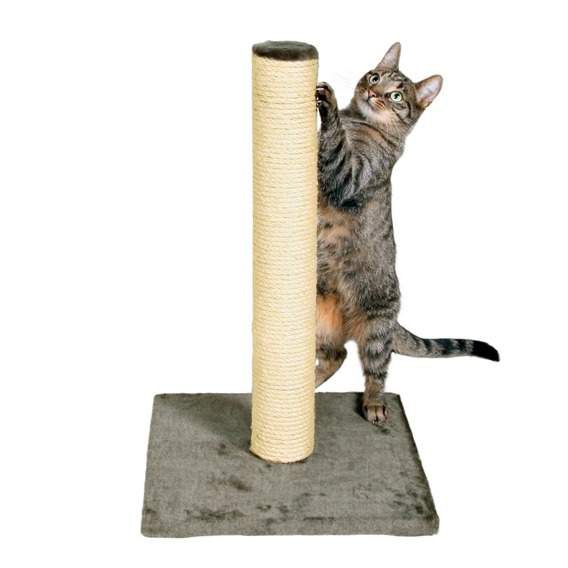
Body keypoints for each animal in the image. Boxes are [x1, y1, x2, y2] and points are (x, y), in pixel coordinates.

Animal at [315, 42, 499, 425]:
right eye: (375, 77)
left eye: (397, 95)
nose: (374, 93)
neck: (360, 120)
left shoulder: (351, 175)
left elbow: (335, 146)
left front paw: (329, 106)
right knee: (336, 355)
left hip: (375, 325)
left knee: (374, 368)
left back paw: (373, 404)